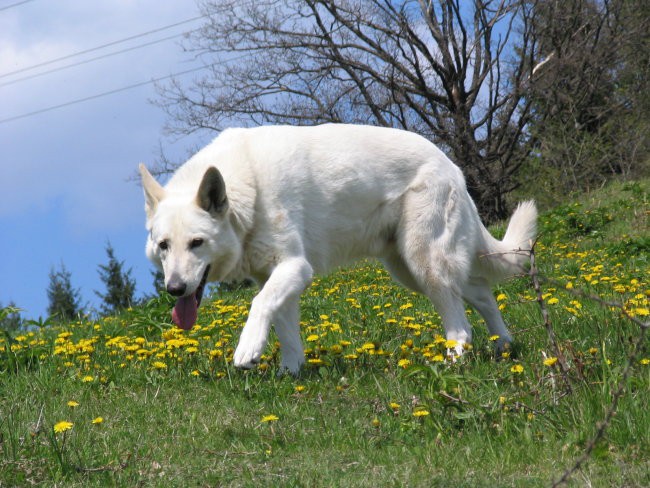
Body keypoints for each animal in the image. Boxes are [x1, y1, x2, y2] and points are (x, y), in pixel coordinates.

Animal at [139, 123, 536, 374]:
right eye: (163, 246)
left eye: (197, 243)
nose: (174, 289)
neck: (247, 193)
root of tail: (451, 166)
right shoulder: (276, 277)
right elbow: (284, 327)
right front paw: (290, 373)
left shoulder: (295, 267)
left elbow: (259, 304)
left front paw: (248, 349)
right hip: (410, 269)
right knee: (482, 293)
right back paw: (504, 345)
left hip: (425, 265)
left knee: (461, 327)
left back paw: (453, 364)